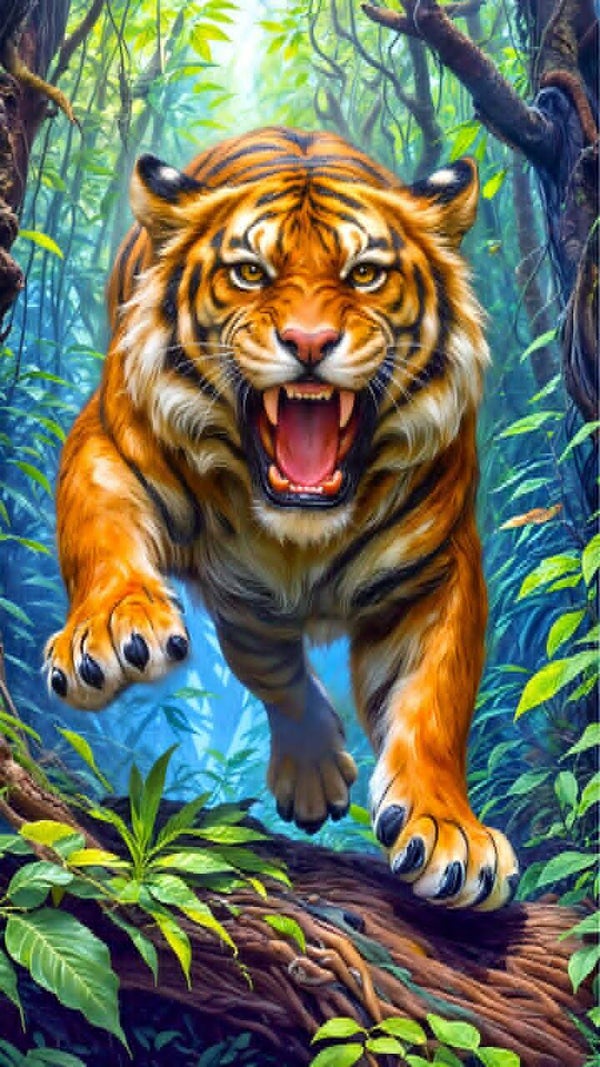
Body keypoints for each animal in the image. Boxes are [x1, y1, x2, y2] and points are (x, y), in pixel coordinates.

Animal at [46, 126, 519, 909]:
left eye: (365, 274)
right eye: (249, 272)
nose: (308, 343)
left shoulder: (438, 566)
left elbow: (433, 702)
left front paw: (453, 832)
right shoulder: (108, 447)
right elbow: (99, 539)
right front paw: (112, 628)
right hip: (247, 599)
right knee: (267, 663)